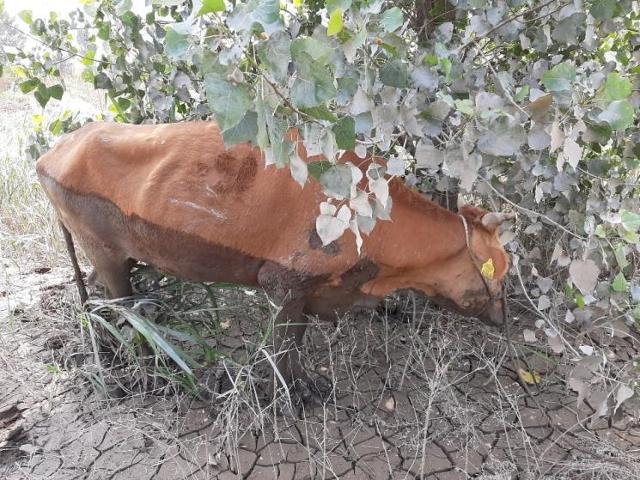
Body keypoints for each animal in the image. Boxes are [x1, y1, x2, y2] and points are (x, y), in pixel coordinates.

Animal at [36, 121, 516, 398]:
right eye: (498, 275)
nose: (503, 318)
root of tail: (52, 151)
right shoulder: (284, 281)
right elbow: (287, 342)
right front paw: (294, 391)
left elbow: (296, 336)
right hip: (105, 251)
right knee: (122, 308)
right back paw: (143, 369)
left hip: (104, 255)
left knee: (94, 298)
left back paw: (107, 353)